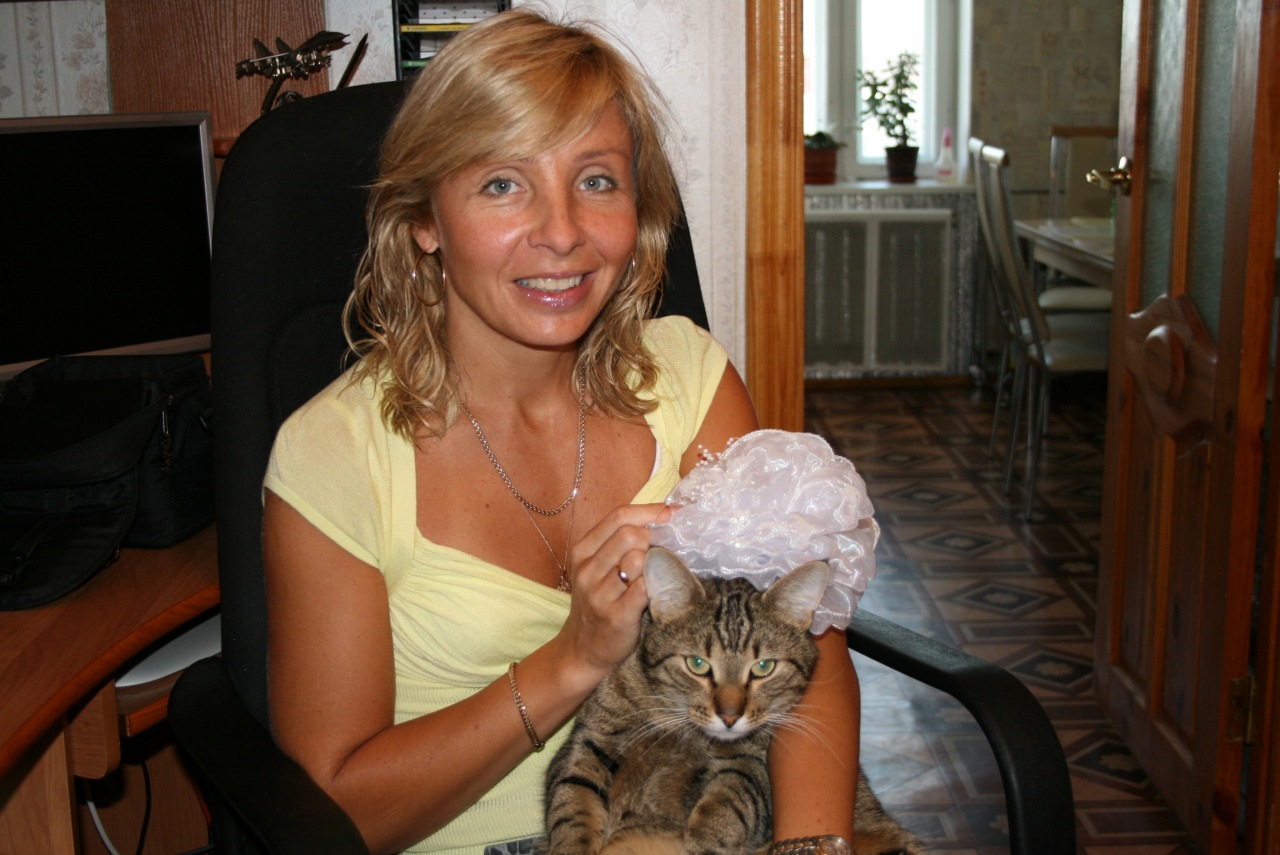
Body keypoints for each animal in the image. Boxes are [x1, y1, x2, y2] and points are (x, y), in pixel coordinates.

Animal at [542, 547, 926, 855]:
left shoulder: (755, 762)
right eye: (698, 664)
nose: (730, 715)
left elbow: (734, 791)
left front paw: (707, 835)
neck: (678, 724)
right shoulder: (587, 744)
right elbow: (573, 805)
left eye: (763, 667)